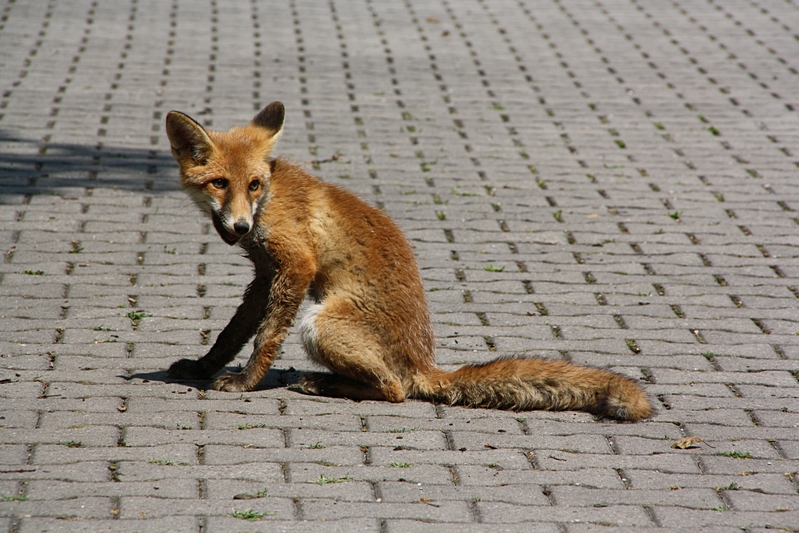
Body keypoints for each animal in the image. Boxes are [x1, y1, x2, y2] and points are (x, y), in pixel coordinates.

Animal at [164, 102, 656, 420]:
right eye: (220, 183)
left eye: (254, 185)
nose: (240, 227)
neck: (271, 202)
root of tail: (423, 361)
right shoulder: (265, 274)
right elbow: (233, 333)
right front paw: (203, 367)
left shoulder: (295, 265)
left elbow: (265, 338)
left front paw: (246, 382)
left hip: (319, 323)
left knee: (396, 390)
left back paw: (325, 385)